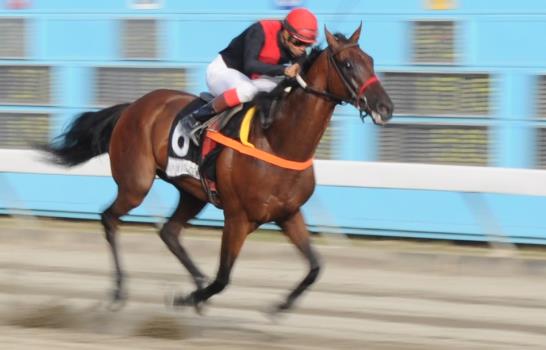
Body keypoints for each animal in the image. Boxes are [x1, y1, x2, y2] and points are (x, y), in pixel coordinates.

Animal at [42, 26, 392, 314]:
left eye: (371, 60)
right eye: (347, 64)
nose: (385, 107)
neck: (278, 140)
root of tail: (133, 106)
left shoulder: (288, 214)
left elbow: (315, 267)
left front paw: (280, 305)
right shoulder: (238, 217)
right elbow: (223, 278)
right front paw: (186, 299)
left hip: (192, 192)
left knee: (169, 232)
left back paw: (194, 280)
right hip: (135, 184)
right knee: (109, 219)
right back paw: (119, 292)